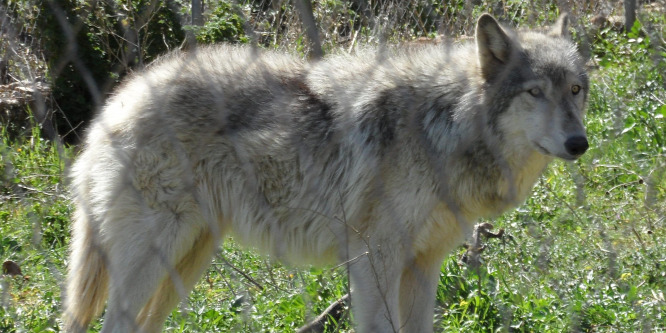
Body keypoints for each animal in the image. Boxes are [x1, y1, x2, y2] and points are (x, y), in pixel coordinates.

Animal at [63, 13, 588, 332]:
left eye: (576, 90)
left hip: (190, 259)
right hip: (157, 254)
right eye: (535, 92)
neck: (446, 125)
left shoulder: (424, 264)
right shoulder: (375, 258)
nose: (579, 143)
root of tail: (120, 99)